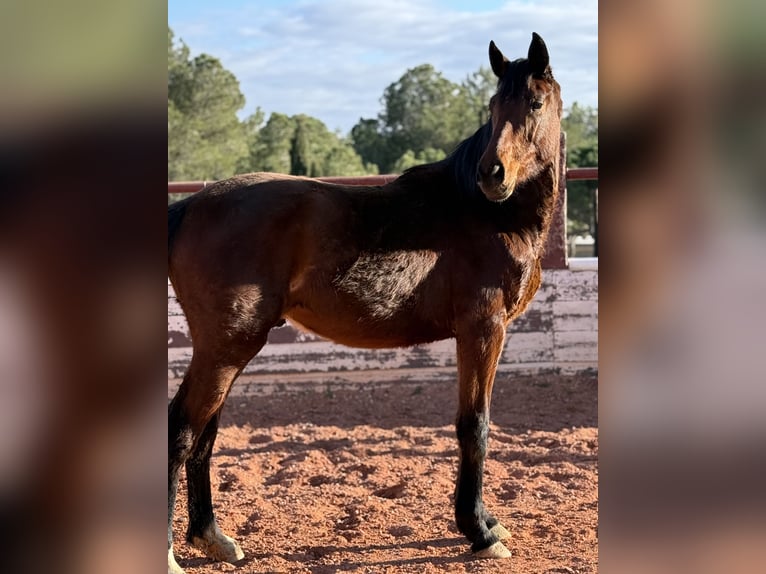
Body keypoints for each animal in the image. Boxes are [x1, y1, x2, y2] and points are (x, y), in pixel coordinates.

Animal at [168, 33, 564, 572]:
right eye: (493, 105)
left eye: (534, 102)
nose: (492, 174)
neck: (484, 214)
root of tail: (190, 206)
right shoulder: (484, 329)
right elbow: (474, 426)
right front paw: (479, 531)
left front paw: (485, 522)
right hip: (226, 348)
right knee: (182, 430)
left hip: (224, 349)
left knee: (204, 433)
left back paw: (213, 537)